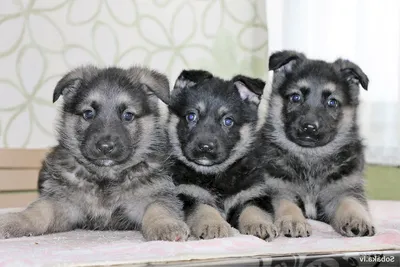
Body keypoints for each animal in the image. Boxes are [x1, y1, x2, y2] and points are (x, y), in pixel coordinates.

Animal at [0, 65, 189, 243]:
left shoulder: (152, 197)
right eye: (88, 113)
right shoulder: (62, 203)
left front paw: (167, 225)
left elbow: (159, 209)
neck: (105, 177)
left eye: (128, 115)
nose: (105, 147)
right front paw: (14, 221)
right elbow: (37, 211)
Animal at [166, 70, 278, 241]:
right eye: (191, 116)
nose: (205, 147)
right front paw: (214, 225)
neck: (215, 175)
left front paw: (260, 224)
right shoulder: (189, 194)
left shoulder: (253, 194)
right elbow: (204, 208)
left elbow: (254, 210)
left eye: (228, 121)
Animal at [260, 50, 376, 239]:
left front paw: (357, 219)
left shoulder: (344, 190)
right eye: (296, 97)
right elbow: (287, 204)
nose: (309, 127)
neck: (310, 158)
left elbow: (351, 203)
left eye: (332, 102)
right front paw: (293, 220)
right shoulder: (279, 189)